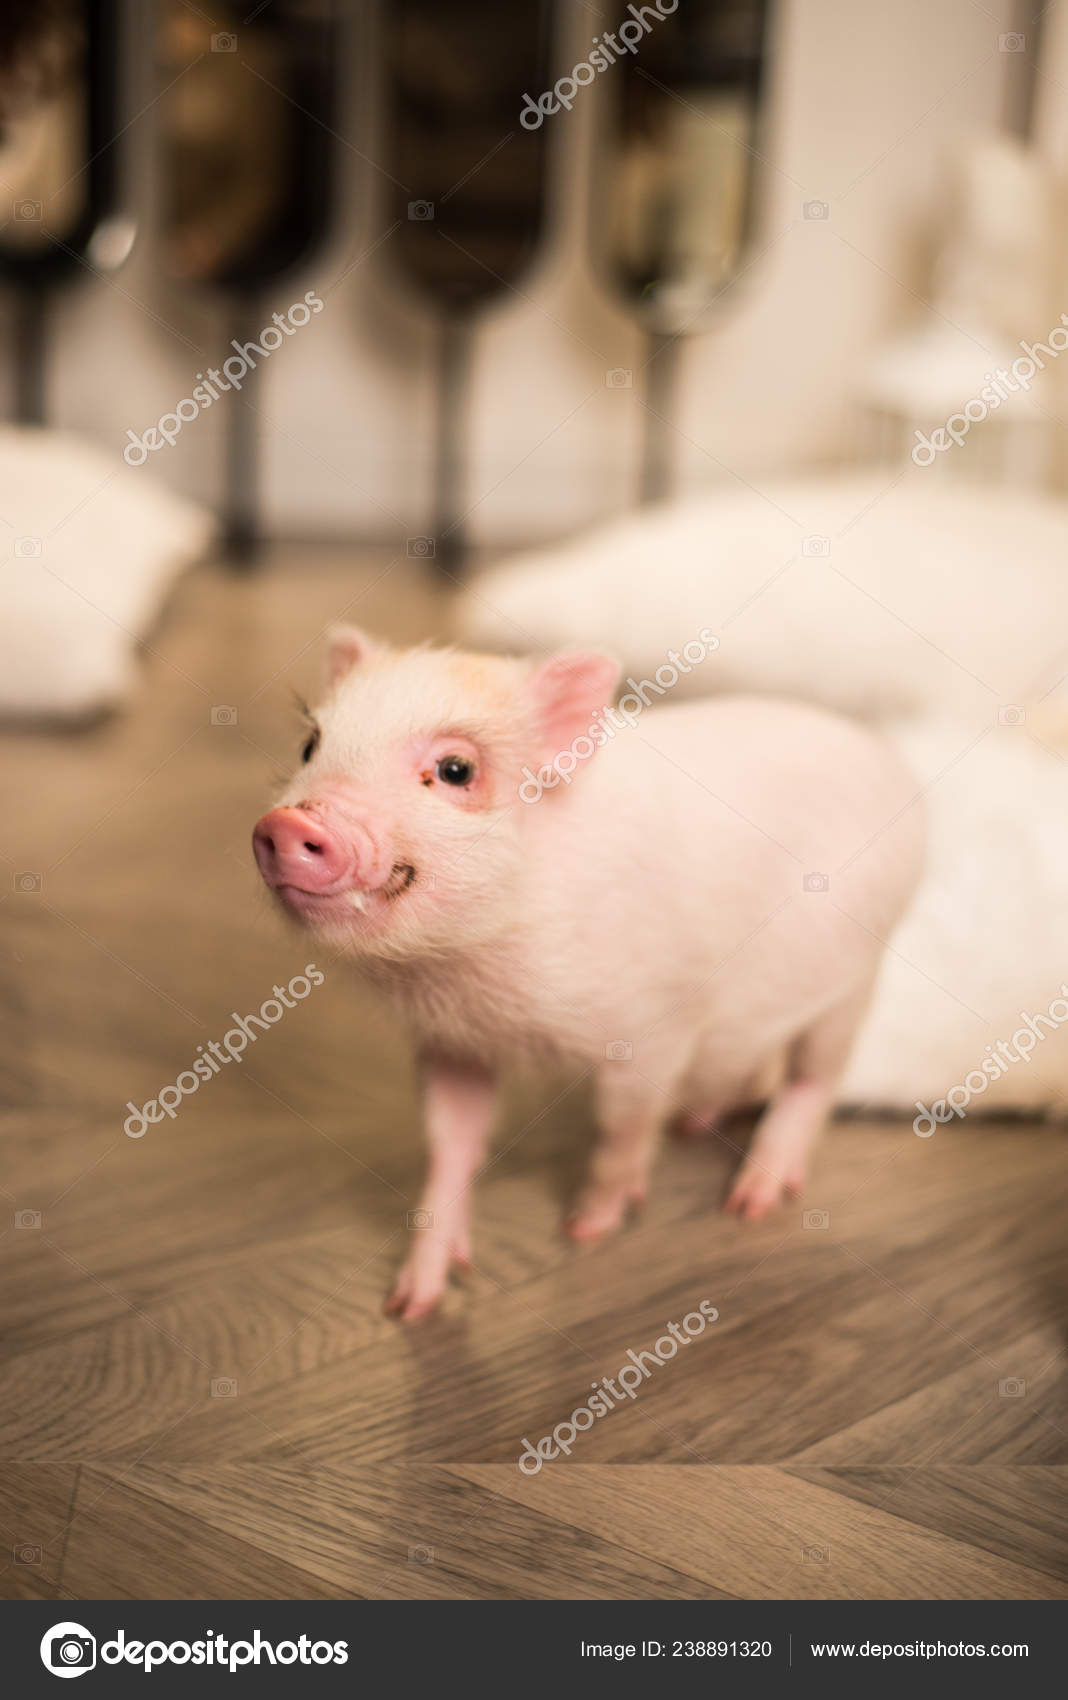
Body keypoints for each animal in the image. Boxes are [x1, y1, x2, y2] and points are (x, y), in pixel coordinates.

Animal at [252, 627, 925, 1319]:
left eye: (455, 770)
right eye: (310, 745)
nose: (288, 823)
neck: (474, 973)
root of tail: (896, 769)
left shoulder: (656, 1026)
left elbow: (619, 1131)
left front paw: (585, 1229)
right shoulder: (451, 1042)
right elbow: (450, 1143)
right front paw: (413, 1304)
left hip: (860, 969)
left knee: (815, 1079)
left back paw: (750, 1202)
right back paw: (693, 1126)